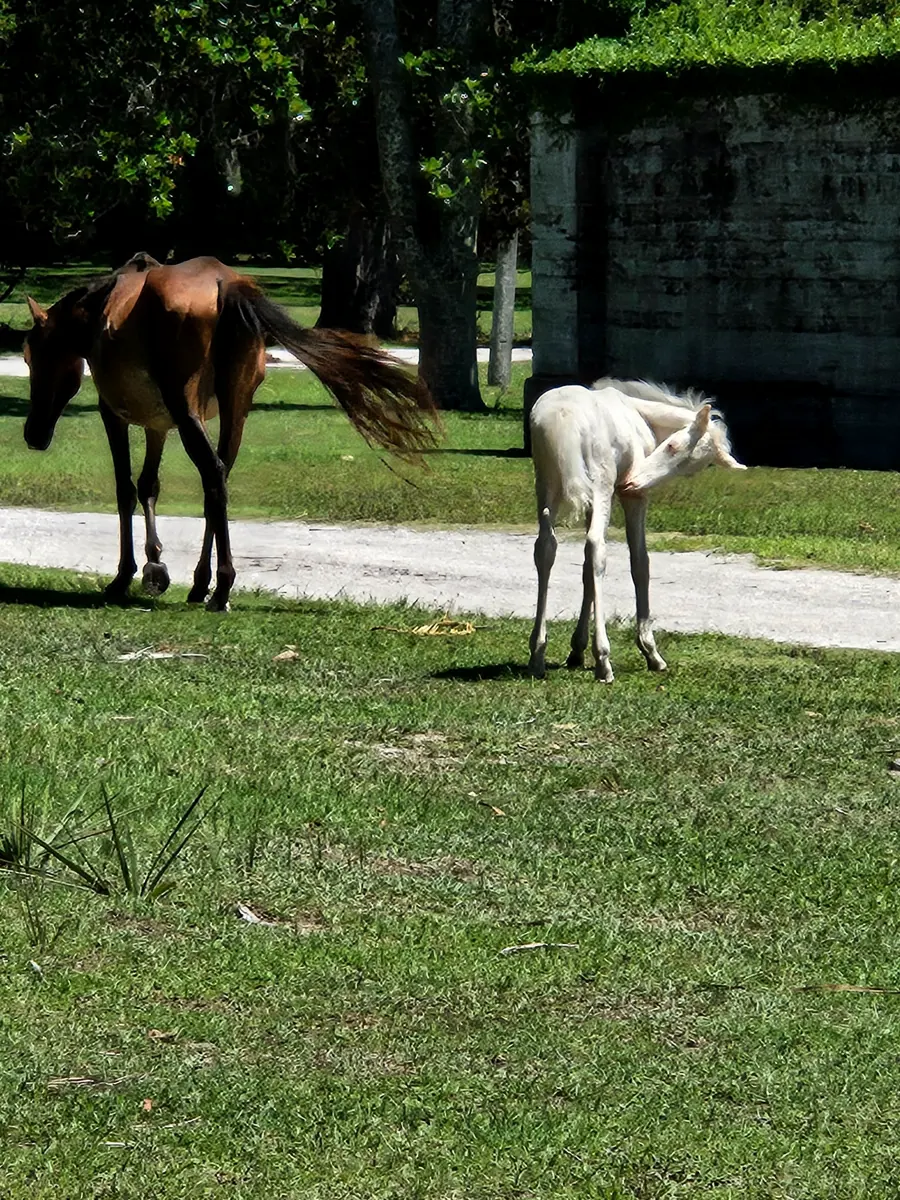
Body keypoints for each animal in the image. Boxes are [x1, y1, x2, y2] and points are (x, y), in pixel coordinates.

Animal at [23, 253, 439, 611]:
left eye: (31, 357)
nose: (33, 434)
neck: (98, 314)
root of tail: (226, 283)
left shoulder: (115, 415)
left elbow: (125, 489)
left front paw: (126, 575)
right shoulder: (159, 425)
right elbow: (149, 486)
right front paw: (155, 565)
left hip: (189, 410)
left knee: (213, 473)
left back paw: (221, 587)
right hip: (235, 409)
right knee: (218, 481)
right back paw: (202, 584)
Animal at [528, 378, 745, 682]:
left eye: (690, 470)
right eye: (672, 446)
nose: (632, 483)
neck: (638, 413)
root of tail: (563, 417)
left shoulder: (592, 502)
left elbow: (585, 571)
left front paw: (576, 650)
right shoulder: (632, 498)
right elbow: (639, 562)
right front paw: (650, 651)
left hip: (547, 486)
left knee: (546, 548)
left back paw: (537, 654)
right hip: (601, 484)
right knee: (596, 547)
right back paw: (603, 660)